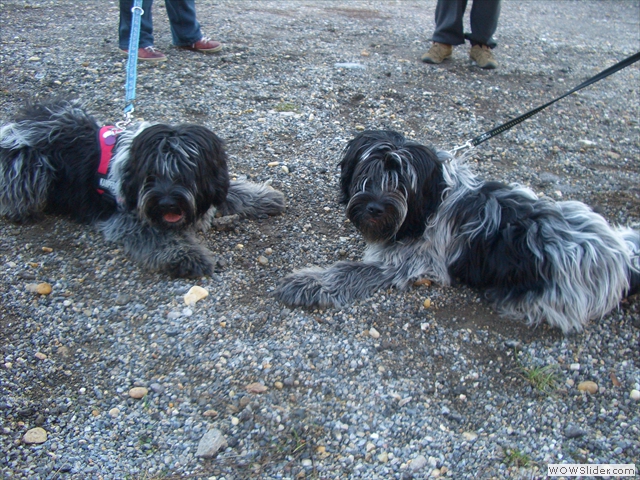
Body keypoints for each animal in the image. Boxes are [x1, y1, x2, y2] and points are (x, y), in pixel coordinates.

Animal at [0, 98, 284, 278]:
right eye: (150, 175)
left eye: (186, 173)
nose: (167, 203)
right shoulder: (124, 216)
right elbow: (156, 237)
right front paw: (187, 256)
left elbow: (230, 190)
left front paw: (263, 197)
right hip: (28, 164)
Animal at [276, 130, 640, 334]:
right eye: (367, 173)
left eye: (402, 184)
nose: (375, 208)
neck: (429, 204)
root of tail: (622, 258)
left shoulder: (409, 263)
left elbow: (350, 271)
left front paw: (305, 282)